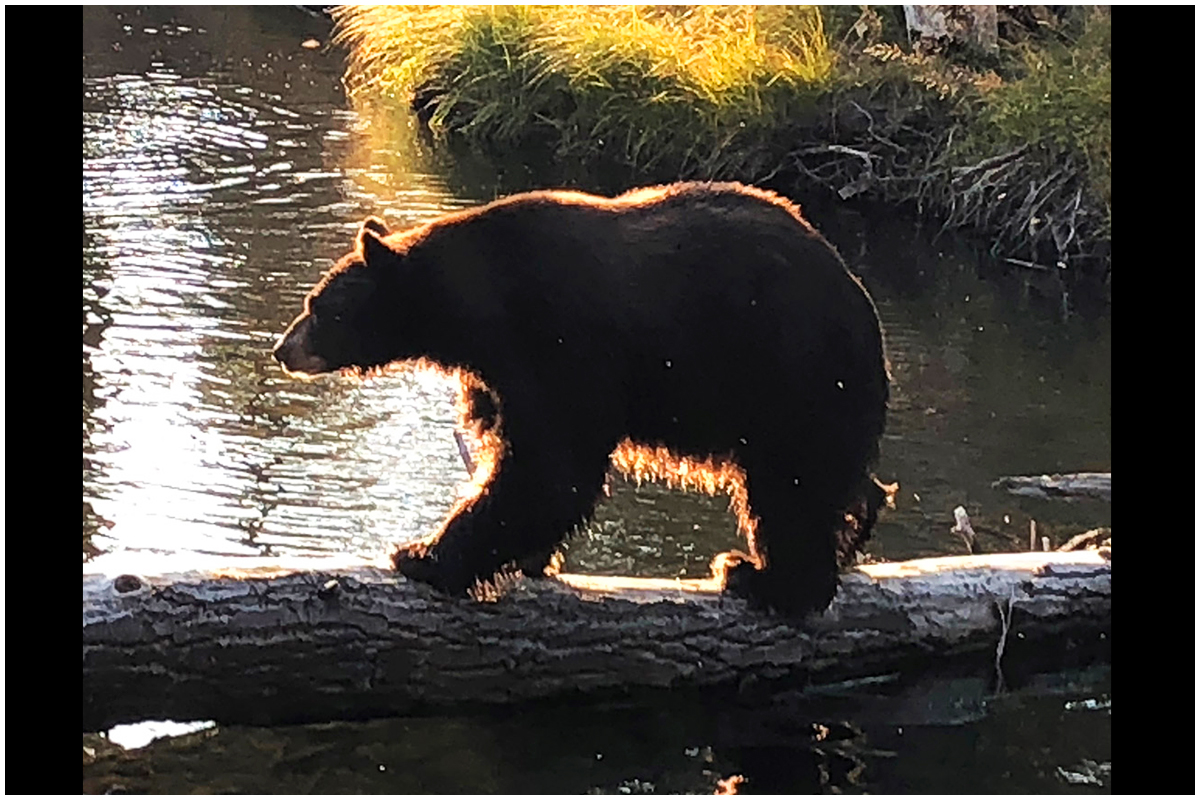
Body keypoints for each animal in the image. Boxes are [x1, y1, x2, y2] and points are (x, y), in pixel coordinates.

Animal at [274, 182, 890, 615]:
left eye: (318, 306)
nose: (282, 347)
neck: (474, 309)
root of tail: (865, 310)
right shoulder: (499, 371)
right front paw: (522, 555)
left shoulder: (559, 344)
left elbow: (549, 468)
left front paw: (422, 555)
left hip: (790, 376)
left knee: (790, 488)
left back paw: (761, 577)